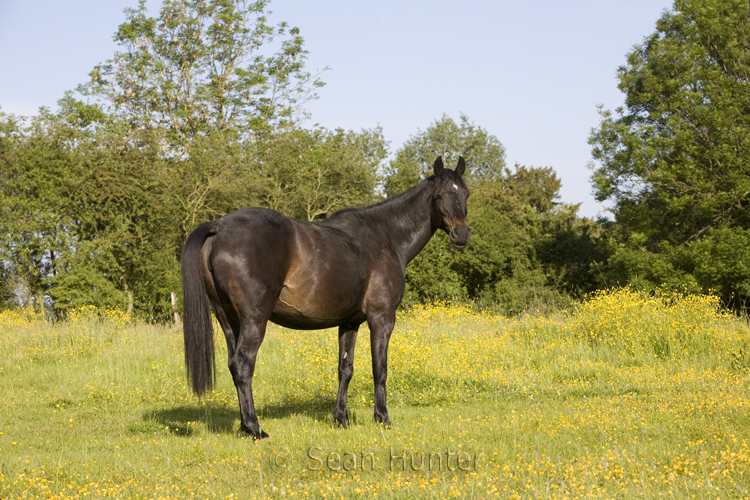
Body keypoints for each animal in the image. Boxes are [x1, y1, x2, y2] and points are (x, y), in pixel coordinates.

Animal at [181, 155, 470, 438]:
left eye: (466, 193)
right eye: (440, 195)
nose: (462, 234)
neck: (386, 237)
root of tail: (219, 226)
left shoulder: (350, 322)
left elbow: (345, 369)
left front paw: (341, 419)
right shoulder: (382, 318)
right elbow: (380, 368)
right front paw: (382, 418)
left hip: (227, 317)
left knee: (233, 364)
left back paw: (244, 426)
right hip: (254, 319)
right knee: (243, 364)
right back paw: (255, 428)